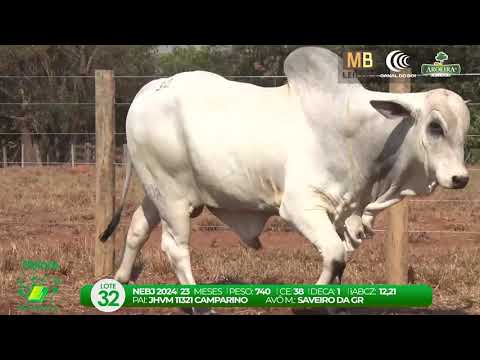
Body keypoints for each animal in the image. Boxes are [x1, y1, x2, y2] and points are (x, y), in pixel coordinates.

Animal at [99, 45, 470, 304]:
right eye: (435, 126)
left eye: (464, 129)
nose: (461, 178)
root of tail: (152, 88)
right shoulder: (300, 206)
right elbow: (335, 257)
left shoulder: (342, 213)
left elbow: (341, 263)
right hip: (172, 194)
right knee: (175, 247)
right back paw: (197, 304)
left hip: (156, 190)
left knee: (137, 228)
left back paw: (120, 280)